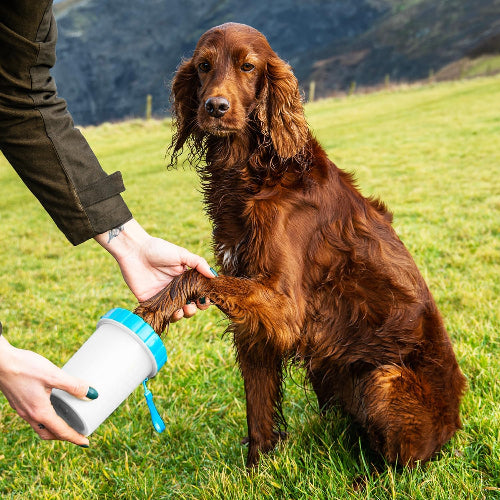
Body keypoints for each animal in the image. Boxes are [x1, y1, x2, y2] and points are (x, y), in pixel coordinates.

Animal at [135, 22, 466, 468]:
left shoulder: (284, 306)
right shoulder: (254, 326)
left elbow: (193, 276)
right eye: (203, 65)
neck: (258, 169)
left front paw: (151, 311)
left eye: (248, 66)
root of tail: (453, 426)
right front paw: (256, 469)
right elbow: (258, 413)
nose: (215, 107)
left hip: (384, 377)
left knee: (404, 463)